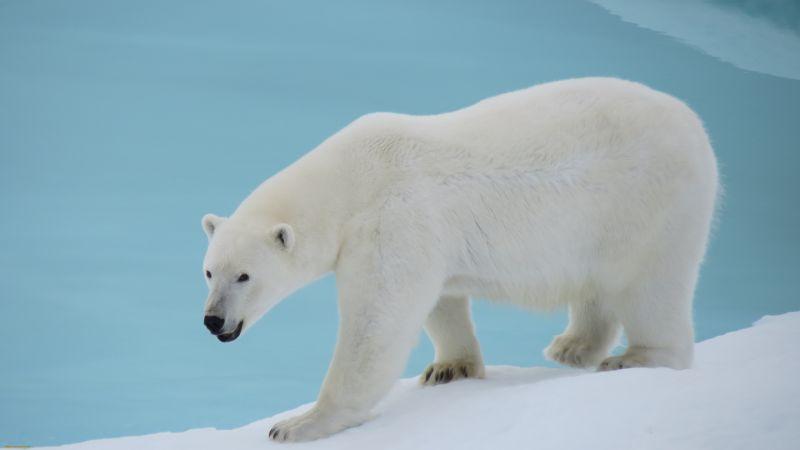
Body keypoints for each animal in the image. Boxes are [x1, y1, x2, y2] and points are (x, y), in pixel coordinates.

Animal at [198, 78, 720, 442]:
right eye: (208, 271)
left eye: (244, 276)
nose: (213, 320)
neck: (352, 178)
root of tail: (694, 124)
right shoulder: (424, 234)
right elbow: (440, 300)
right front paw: (450, 368)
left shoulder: (393, 218)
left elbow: (377, 323)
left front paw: (298, 423)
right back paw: (572, 346)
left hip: (648, 201)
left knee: (650, 285)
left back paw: (636, 357)